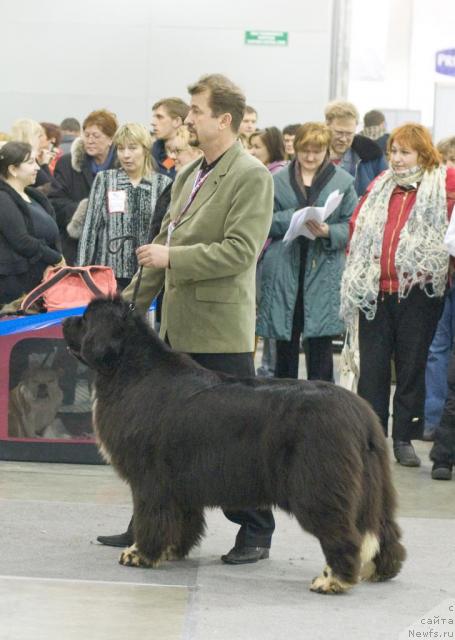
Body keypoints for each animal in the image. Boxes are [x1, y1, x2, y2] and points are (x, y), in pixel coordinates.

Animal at [63, 300, 406, 596]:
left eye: (86, 319)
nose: (65, 320)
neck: (130, 371)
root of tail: (360, 415)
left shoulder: (151, 479)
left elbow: (151, 518)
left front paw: (140, 554)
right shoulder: (180, 481)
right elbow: (182, 521)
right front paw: (171, 550)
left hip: (319, 485)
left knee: (343, 533)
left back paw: (332, 581)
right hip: (373, 487)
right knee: (384, 529)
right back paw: (380, 571)